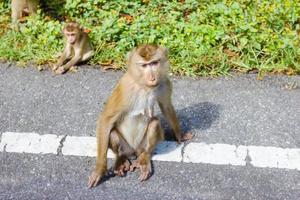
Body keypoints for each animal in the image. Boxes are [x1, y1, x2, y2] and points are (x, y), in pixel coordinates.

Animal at [88, 43, 193, 188]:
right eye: (144, 65)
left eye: (154, 63)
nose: (152, 77)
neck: (143, 86)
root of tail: (134, 151)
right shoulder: (125, 87)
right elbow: (106, 120)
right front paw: (99, 170)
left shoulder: (164, 83)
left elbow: (166, 107)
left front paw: (180, 135)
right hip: (125, 146)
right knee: (113, 132)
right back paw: (121, 158)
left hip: (141, 146)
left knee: (154, 123)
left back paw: (144, 157)